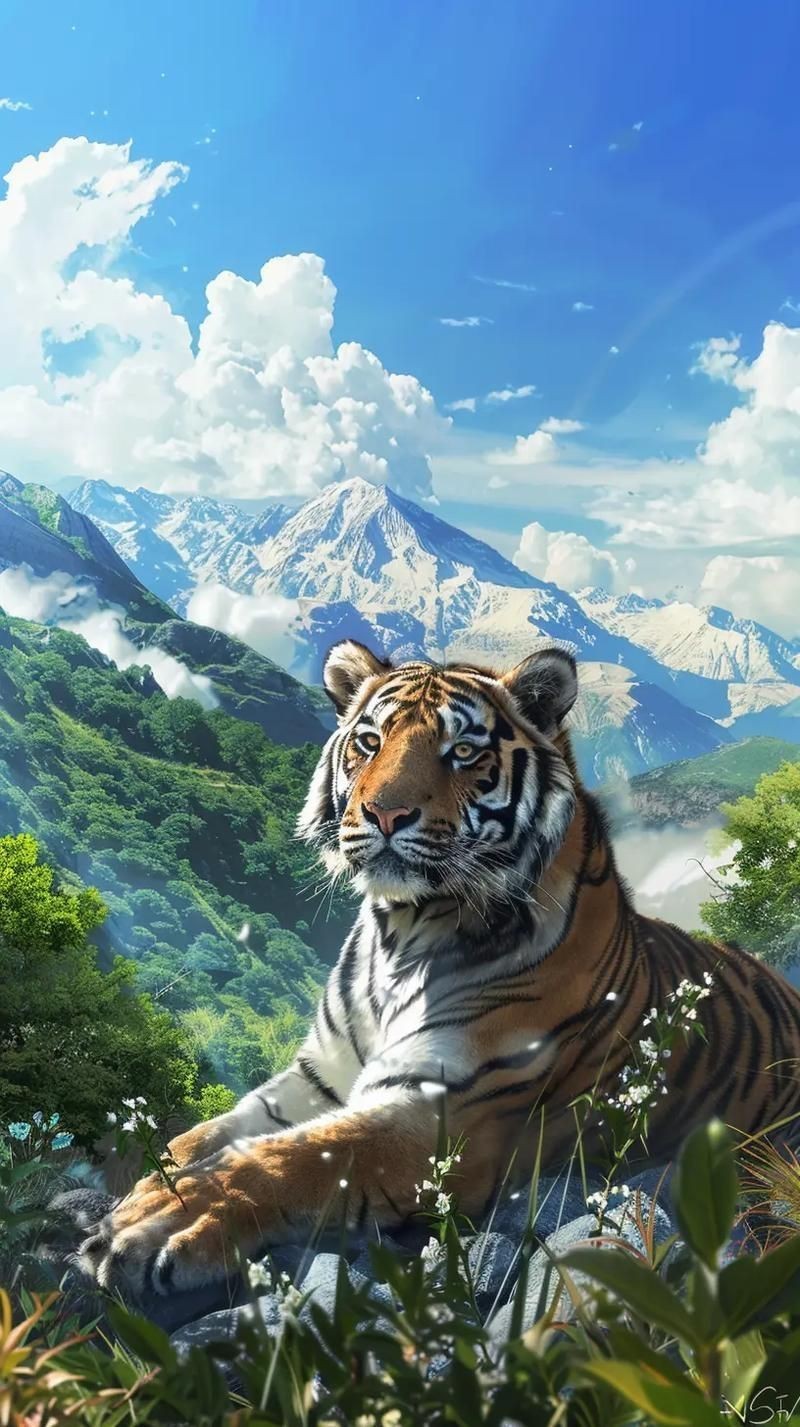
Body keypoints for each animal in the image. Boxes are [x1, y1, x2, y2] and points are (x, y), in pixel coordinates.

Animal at [79, 640, 800, 1294]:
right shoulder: (317, 1079)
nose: (385, 814)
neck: (401, 932)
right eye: (369, 741)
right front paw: (145, 1185)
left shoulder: (443, 1111)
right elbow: (207, 1135)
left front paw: (160, 1221)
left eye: (463, 751)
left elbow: (293, 1157)